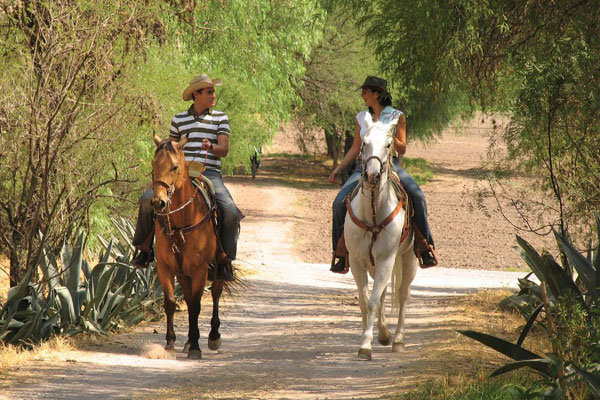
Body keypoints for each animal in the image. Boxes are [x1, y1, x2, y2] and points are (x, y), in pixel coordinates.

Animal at [151, 135, 224, 360]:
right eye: (153, 165)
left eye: (174, 167)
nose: (159, 202)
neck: (181, 223)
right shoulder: (165, 267)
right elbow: (170, 302)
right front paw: (170, 343)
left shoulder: (200, 269)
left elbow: (196, 305)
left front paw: (195, 348)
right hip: (184, 273)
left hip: (219, 264)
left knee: (216, 292)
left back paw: (212, 336)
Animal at [342, 113, 418, 360]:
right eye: (364, 143)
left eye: (387, 145)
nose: (372, 175)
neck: (373, 214)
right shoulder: (357, 261)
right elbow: (365, 301)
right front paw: (371, 335)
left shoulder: (386, 259)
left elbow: (374, 301)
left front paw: (366, 345)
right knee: (384, 292)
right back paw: (384, 333)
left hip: (409, 258)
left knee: (403, 295)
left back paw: (398, 339)